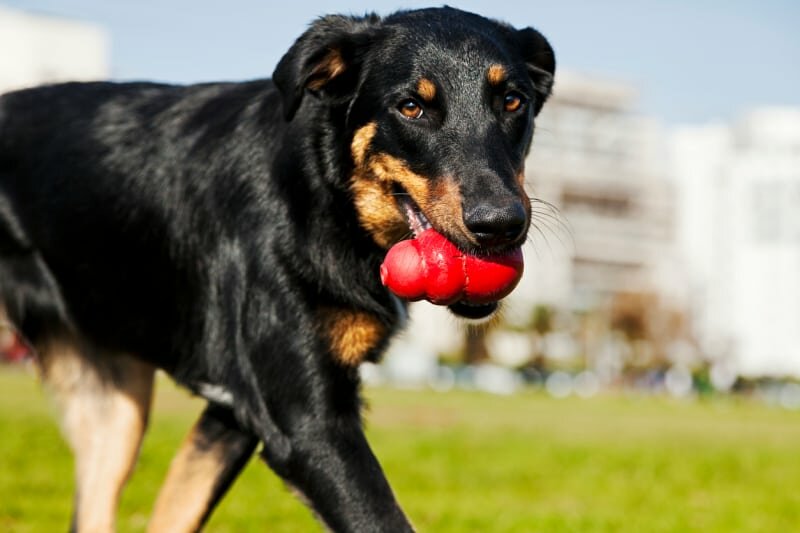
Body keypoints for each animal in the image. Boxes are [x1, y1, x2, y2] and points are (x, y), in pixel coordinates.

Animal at [0, 6, 552, 528]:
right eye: (411, 107)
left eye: (512, 101)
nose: (500, 224)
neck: (323, 191)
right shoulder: (307, 425)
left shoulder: (232, 414)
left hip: (116, 410)